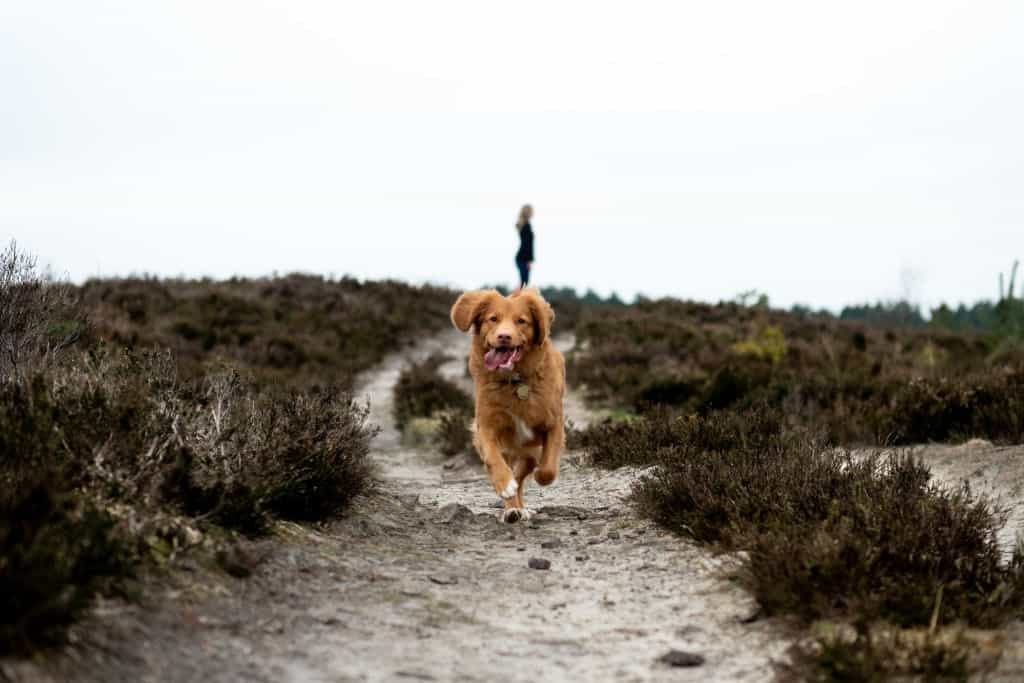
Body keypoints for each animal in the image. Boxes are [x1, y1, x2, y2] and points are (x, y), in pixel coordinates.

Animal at [452, 288, 569, 524]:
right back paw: (512, 509)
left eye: (521, 321)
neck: (514, 381)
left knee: (524, 474)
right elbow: (493, 458)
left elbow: (547, 469)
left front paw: (537, 477)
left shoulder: (553, 424)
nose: (504, 336)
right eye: (493, 319)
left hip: (528, 453)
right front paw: (505, 485)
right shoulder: (486, 426)